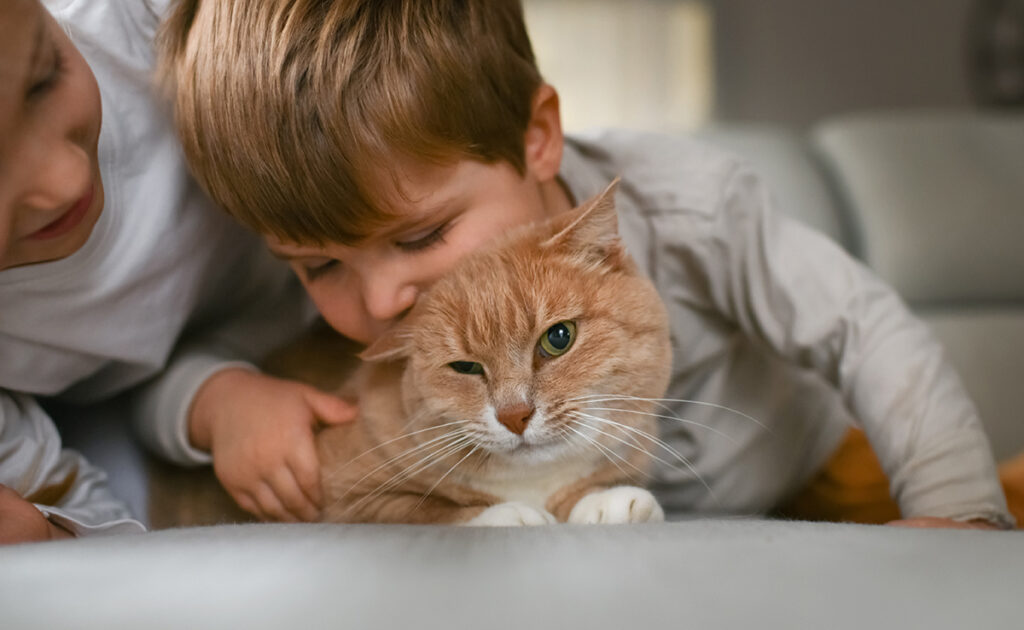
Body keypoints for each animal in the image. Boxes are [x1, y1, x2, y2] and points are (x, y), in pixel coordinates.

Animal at [315, 182, 675, 528]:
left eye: (559, 337)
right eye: (465, 367)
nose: (514, 415)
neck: (534, 481)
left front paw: (607, 502)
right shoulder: (347, 497)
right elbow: (422, 509)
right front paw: (509, 514)